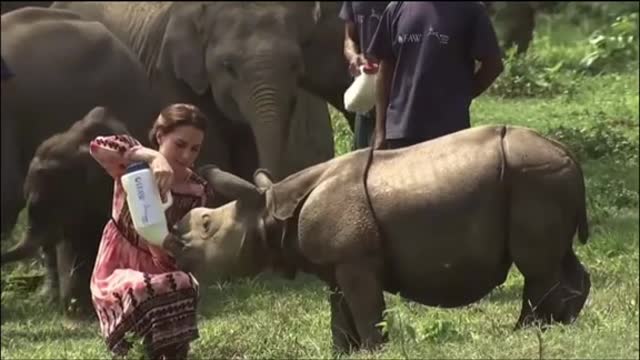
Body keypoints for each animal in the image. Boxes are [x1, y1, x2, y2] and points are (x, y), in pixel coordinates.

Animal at [169, 124, 592, 352]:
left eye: (206, 225)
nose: (173, 240)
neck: (270, 208)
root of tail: (569, 154)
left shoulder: (355, 258)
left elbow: (365, 305)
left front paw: (375, 349)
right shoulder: (334, 261)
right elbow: (339, 308)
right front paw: (342, 352)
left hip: (533, 177)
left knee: (536, 265)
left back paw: (528, 332)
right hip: (543, 178)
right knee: (558, 257)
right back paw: (565, 322)